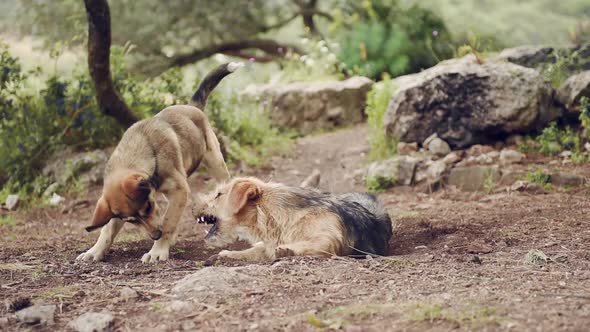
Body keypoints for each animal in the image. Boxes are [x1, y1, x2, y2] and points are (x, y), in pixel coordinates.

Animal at [77, 62, 243, 264]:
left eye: (148, 207)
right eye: (131, 221)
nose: (155, 235)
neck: (142, 152)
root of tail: (190, 106)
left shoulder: (179, 191)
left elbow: (168, 221)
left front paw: (157, 251)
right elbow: (107, 229)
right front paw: (95, 251)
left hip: (216, 163)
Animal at [197, 178, 396, 260]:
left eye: (218, 195)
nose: (194, 202)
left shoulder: (329, 237)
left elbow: (314, 243)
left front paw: (289, 249)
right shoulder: (265, 245)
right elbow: (252, 251)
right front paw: (227, 255)